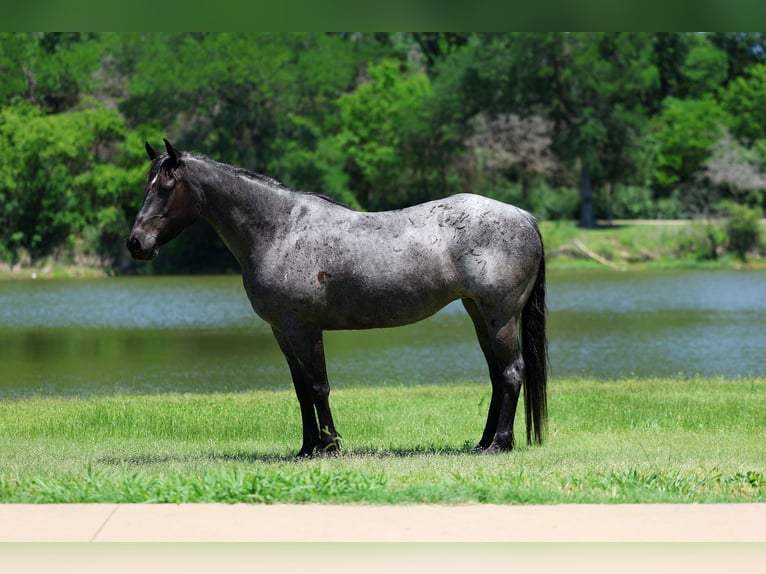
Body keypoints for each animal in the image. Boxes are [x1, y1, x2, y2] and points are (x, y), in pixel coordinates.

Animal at [127, 139, 548, 457]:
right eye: (147, 186)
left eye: (166, 188)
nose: (136, 243)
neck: (280, 231)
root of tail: (524, 216)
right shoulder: (283, 331)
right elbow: (301, 390)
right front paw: (306, 447)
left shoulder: (305, 328)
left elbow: (319, 386)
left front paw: (329, 446)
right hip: (478, 313)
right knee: (497, 375)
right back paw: (482, 442)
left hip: (500, 316)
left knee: (511, 371)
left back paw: (500, 443)